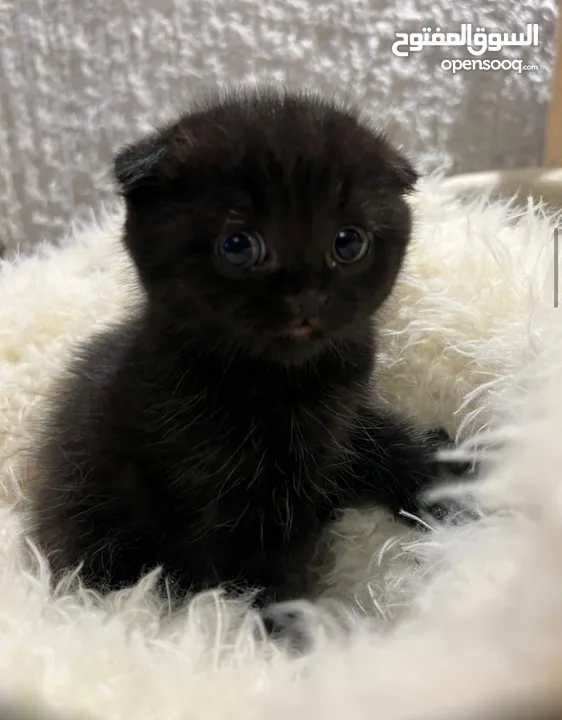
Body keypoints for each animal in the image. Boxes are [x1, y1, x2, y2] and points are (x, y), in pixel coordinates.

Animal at [32, 87, 456, 608]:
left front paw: (453, 480)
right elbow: (264, 569)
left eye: (349, 242)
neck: (284, 382)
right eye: (238, 246)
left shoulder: (345, 423)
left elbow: (390, 444)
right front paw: (288, 625)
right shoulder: (223, 494)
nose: (307, 297)